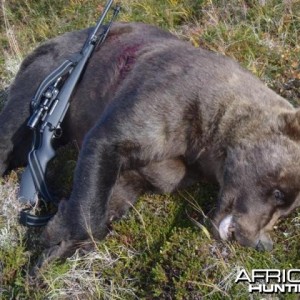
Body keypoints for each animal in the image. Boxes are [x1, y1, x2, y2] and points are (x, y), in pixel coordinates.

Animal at [0, 22, 300, 262]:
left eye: (286, 212)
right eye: (278, 193)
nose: (256, 242)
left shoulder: (163, 165)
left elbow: (120, 191)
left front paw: (51, 251)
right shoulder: (167, 100)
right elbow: (104, 147)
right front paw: (60, 238)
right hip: (44, 75)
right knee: (12, 133)